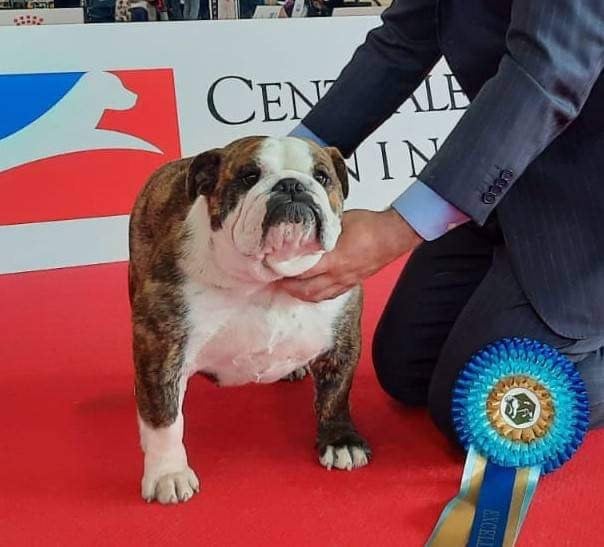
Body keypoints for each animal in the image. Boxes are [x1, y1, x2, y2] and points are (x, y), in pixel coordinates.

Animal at [128, 135, 370, 504]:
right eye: (248, 177)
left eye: (322, 176)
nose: (292, 185)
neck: (268, 279)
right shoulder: (161, 348)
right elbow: (164, 417)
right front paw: (168, 472)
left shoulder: (342, 340)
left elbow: (336, 394)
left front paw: (341, 440)